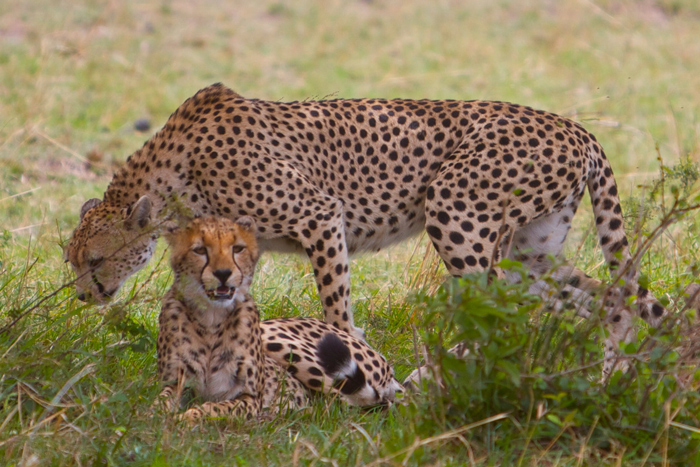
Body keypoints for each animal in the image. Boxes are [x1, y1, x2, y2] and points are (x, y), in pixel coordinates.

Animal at [67, 84, 668, 354]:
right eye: (72, 261)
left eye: (94, 260)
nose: (82, 295)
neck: (175, 174)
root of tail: (575, 128)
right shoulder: (231, 256)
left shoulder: (318, 213)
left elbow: (334, 299)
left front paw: (348, 348)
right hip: (533, 253)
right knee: (610, 301)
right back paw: (609, 368)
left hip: (455, 211)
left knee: (498, 307)